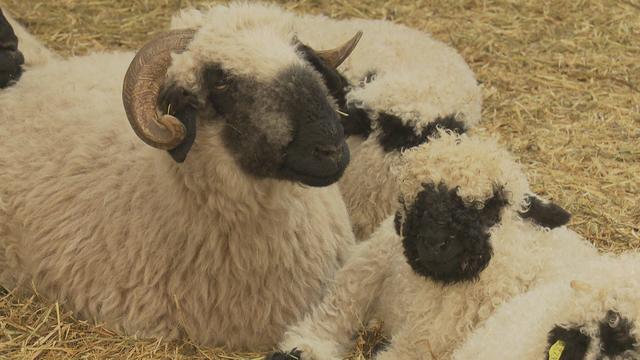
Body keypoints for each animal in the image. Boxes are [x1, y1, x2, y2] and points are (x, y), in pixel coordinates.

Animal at [270, 131, 608, 360]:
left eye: (490, 208)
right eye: (413, 202)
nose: (433, 242)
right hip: (366, 265)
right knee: (331, 316)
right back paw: (302, 348)